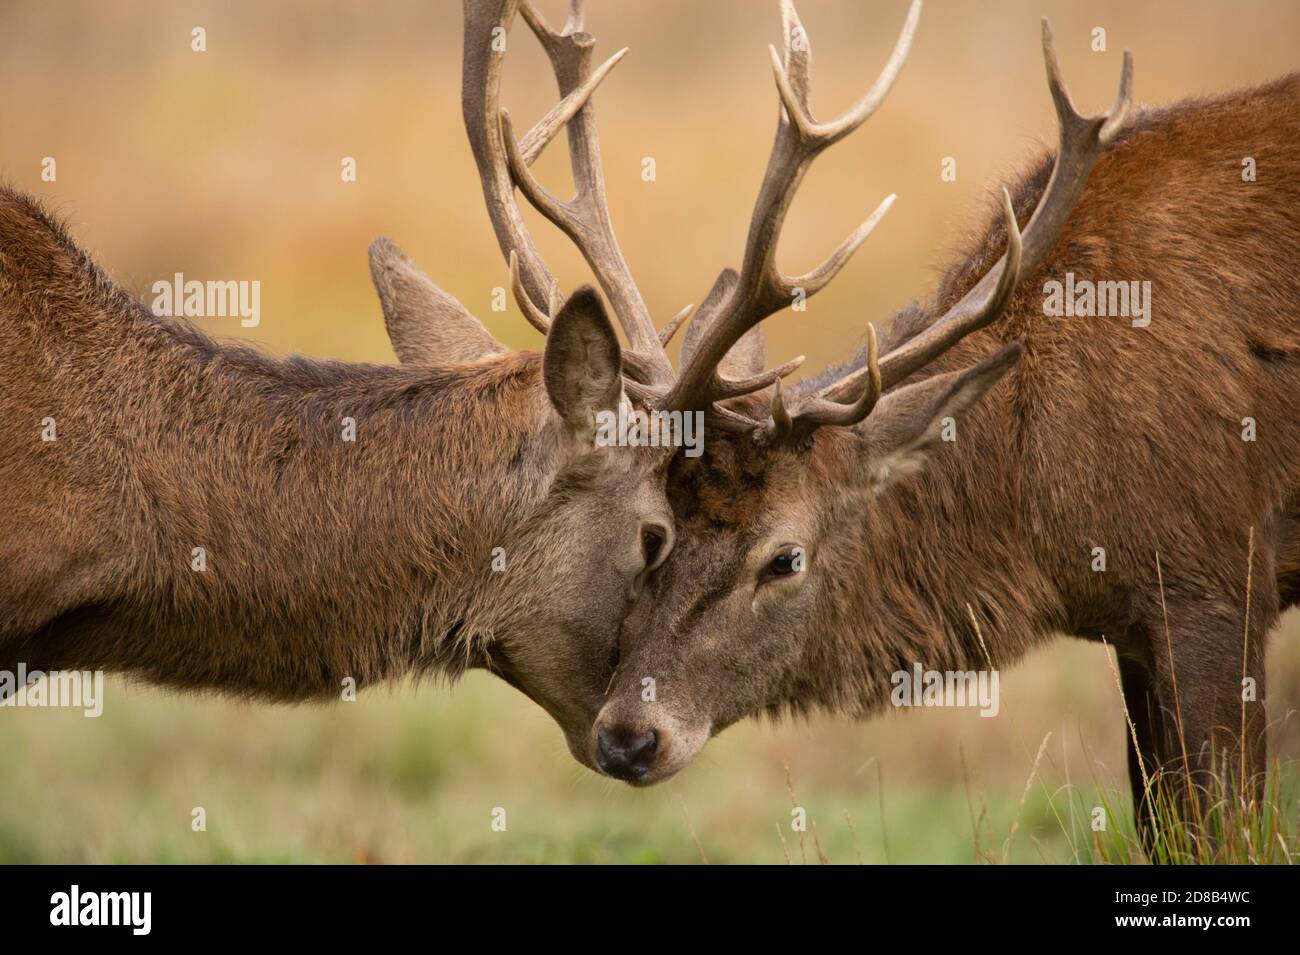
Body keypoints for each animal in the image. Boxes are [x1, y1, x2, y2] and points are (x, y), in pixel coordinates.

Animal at [575, 0, 1299, 838]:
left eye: (785, 558)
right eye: (654, 533)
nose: (626, 737)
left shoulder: (1214, 578)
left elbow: (1221, 824)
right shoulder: (1135, 627)